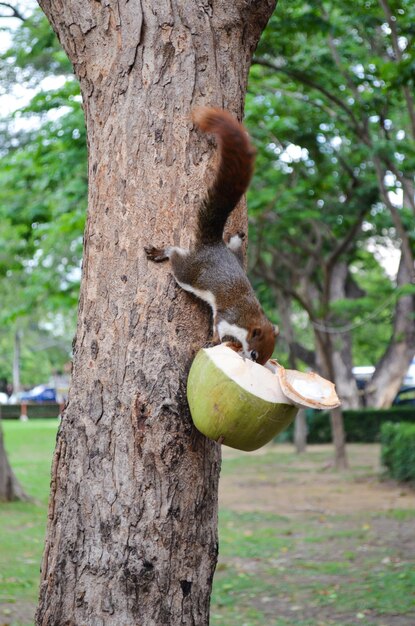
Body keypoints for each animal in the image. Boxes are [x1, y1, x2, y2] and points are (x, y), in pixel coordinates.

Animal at [145, 105, 278, 364]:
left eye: (267, 355)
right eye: (255, 353)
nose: (255, 364)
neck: (250, 318)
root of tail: (212, 246)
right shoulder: (228, 317)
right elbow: (217, 326)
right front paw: (215, 341)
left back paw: (235, 239)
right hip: (189, 273)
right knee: (176, 257)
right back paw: (162, 252)